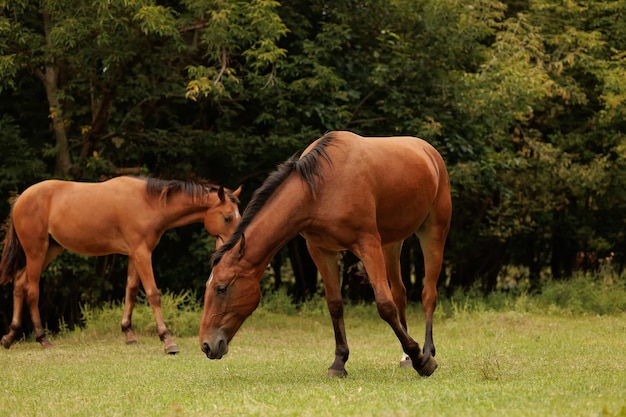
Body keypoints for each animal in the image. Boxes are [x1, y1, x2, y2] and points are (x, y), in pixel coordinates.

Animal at [0, 174, 240, 352]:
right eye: (227, 217)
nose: (236, 245)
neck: (149, 203)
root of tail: (21, 199)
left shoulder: (135, 253)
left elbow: (131, 291)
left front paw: (129, 333)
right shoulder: (142, 254)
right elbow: (153, 294)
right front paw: (167, 340)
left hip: (50, 249)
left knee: (19, 283)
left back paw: (9, 337)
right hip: (36, 252)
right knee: (32, 290)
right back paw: (42, 338)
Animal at [200, 131, 448, 376]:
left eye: (221, 288)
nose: (206, 345)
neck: (318, 190)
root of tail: (429, 151)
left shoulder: (368, 244)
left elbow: (385, 305)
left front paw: (422, 361)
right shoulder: (321, 251)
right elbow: (335, 304)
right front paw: (339, 362)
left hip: (432, 232)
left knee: (428, 294)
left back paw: (426, 351)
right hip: (391, 244)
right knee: (400, 292)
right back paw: (406, 356)